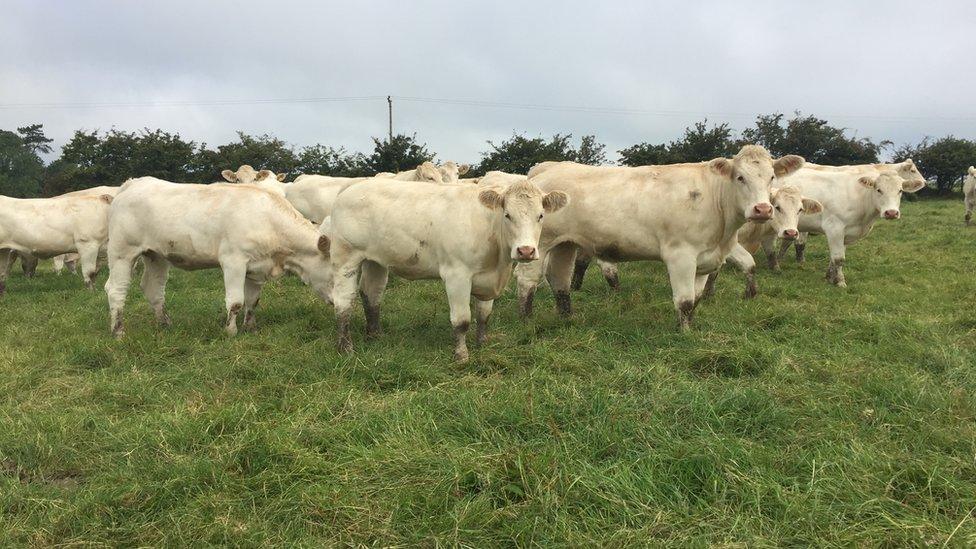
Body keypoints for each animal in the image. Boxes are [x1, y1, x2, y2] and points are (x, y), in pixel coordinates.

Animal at [103, 178, 332, 336]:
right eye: (334, 275)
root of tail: (133, 183)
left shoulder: (257, 266)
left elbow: (253, 300)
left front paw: (250, 328)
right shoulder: (233, 261)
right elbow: (236, 301)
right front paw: (231, 331)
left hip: (155, 255)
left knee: (153, 288)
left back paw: (165, 324)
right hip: (122, 252)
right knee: (115, 289)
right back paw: (118, 331)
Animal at [328, 178, 568, 362]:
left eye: (540, 215)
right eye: (508, 215)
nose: (526, 251)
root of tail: (352, 185)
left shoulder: (487, 278)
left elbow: (484, 314)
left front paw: (483, 343)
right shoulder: (457, 275)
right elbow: (462, 320)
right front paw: (461, 355)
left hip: (375, 260)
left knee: (372, 295)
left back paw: (375, 336)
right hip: (345, 259)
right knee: (344, 301)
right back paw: (345, 348)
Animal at [516, 143, 804, 328]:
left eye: (771, 177)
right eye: (740, 177)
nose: (762, 209)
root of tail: (544, 171)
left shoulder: (704, 260)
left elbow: (696, 299)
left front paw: (690, 327)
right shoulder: (681, 255)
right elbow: (685, 301)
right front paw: (683, 334)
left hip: (565, 243)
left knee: (559, 278)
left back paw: (567, 317)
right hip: (539, 244)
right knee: (528, 280)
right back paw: (527, 319)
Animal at [772, 159, 928, 284]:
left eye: (900, 190)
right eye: (878, 190)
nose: (891, 213)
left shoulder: (845, 233)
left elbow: (834, 257)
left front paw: (830, 277)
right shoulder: (834, 228)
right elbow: (839, 258)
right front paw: (840, 282)